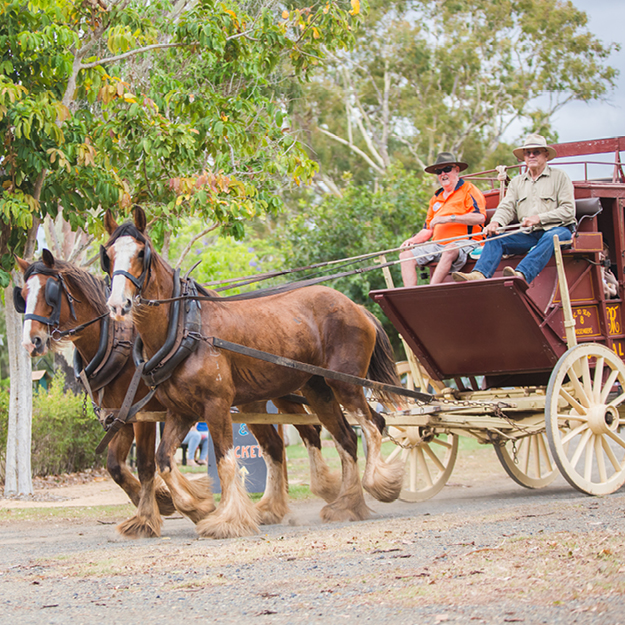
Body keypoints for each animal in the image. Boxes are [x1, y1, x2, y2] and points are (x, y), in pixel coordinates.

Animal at [15, 249, 342, 536]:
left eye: (50, 293)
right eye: (23, 296)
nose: (31, 341)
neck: (116, 341)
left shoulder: (144, 416)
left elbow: (146, 464)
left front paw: (164, 511)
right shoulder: (123, 417)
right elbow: (116, 466)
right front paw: (163, 504)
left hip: (288, 389)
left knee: (311, 431)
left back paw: (327, 491)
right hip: (259, 399)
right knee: (278, 444)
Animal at [103, 207, 400, 540]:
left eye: (142, 253)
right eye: (108, 254)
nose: (118, 304)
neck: (185, 327)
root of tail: (357, 307)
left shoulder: (216, 405)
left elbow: (226, 462)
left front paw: (227, 519)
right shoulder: (182, 411)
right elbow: (163, 460)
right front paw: (197, 506)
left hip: (345, 385)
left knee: (372, 428)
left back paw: (377, 484)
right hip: (318, 390)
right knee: (347, 438)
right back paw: (347, 505)